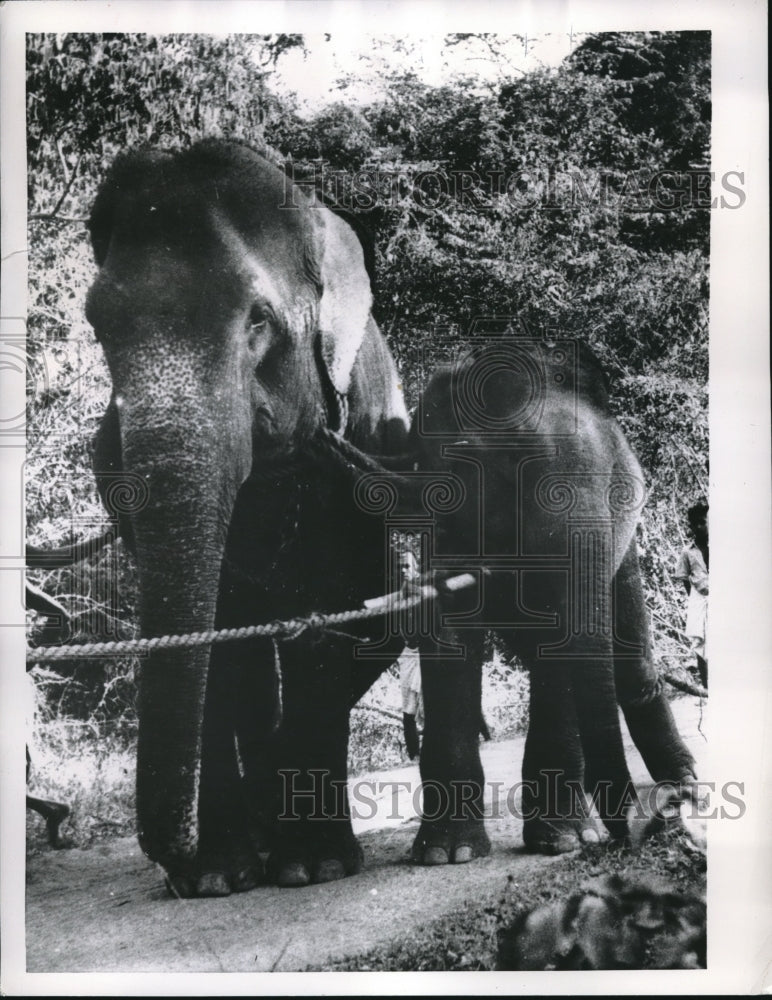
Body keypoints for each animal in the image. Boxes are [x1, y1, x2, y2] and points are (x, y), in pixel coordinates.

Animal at [84, 137, 410, 896]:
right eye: (96, 325)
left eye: (257, 318)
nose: (171, 866)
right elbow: (221, 638)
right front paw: (218, 876)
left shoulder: (353, 455)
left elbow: (340, 619)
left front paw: (313, 866)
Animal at [408, 340, 696, 864]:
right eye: (509, 476)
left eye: (618, 490)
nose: (624, 835)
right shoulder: (445, 526)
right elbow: (449, 638)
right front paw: (448, 854)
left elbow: (559, 645)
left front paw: (564, 841)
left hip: (626, 557)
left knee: (632, 658)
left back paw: (683, 783)